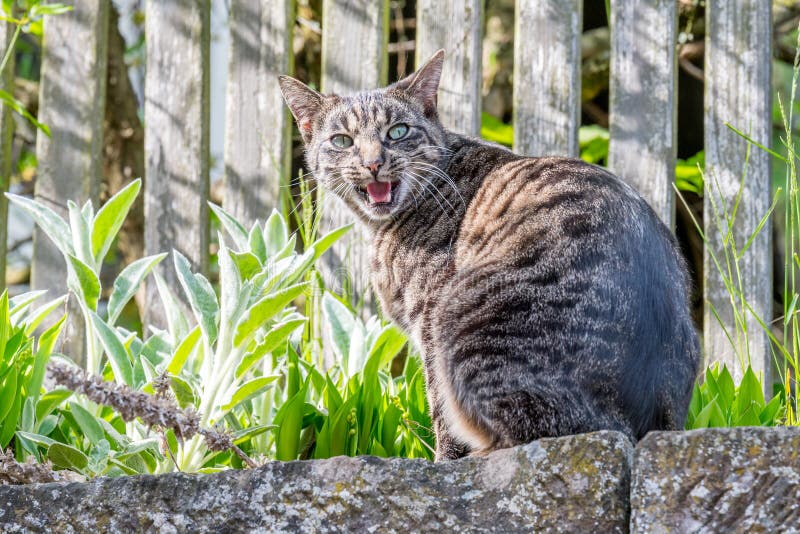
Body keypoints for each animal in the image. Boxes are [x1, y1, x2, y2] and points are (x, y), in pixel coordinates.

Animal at [278, 50, 696, 462]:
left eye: (397, 131)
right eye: (342, 140)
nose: (373, 163)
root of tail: (640, 423)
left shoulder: (429, 321)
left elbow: (441, 413)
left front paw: (444, 462)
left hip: (459, 318)